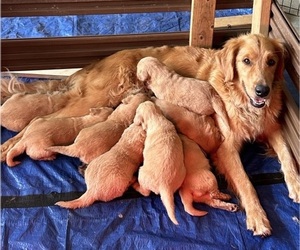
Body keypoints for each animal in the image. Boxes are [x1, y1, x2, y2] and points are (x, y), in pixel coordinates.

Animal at [1, 33, 298, 236]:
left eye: (271, 62)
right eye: (246, 61)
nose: (262, 91)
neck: (242, 100)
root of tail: (99, 61)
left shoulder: (271, 127)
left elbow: (287, 155)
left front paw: (295, 185)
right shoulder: (226, 147)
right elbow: (246, 182)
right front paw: (258, 217)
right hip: (96, 99)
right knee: (39, 120)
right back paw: (8, 149)